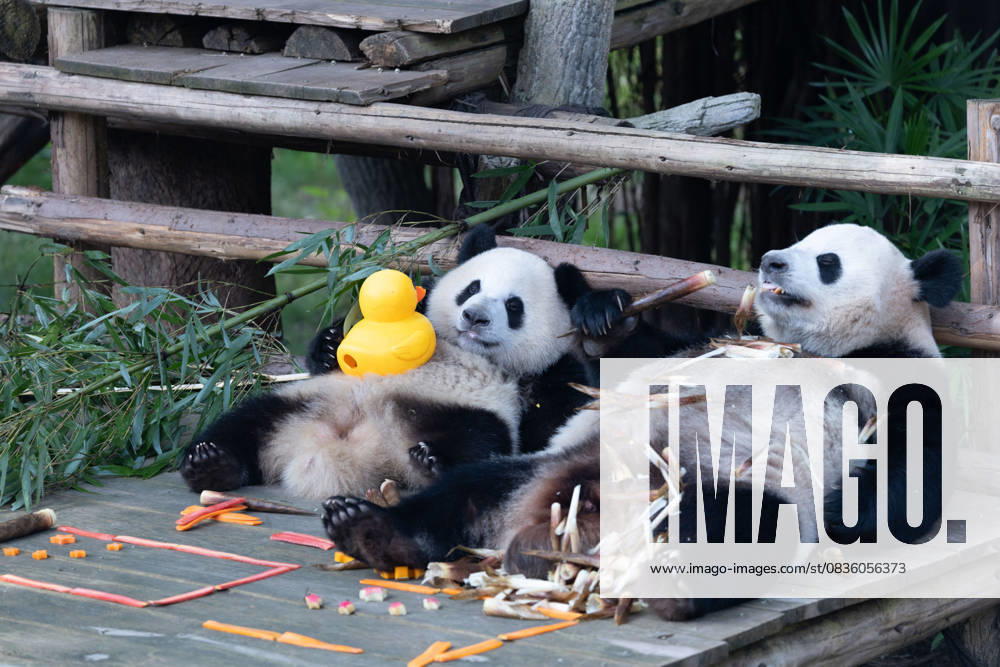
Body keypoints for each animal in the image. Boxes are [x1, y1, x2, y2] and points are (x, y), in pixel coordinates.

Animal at [179, 225, 681, 500]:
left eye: (514, 306)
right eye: (471, 287)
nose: (474, 316)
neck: (465, 352)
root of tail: (342, 453)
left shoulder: (547, 376)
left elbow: (564, 415)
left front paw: (603, 317)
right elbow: (331, 356)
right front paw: (332, 343)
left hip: (463, 417)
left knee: (479, 439)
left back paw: (431, 461)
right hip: (298, 404)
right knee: (244, 422)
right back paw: (211, 463)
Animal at [321, 223, 963, 619]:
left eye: (827, 262)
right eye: (797, 241)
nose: (770, 260)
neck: (812, 345)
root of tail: (556, 533)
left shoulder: (899, 378)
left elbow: (904, 492)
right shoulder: (710, 341)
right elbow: (625, 364)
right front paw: (604, 315)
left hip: (719, 488)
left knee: (731, 521)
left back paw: (675, 584)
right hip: (538, 468)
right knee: (464, 491)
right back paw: (367, 527)